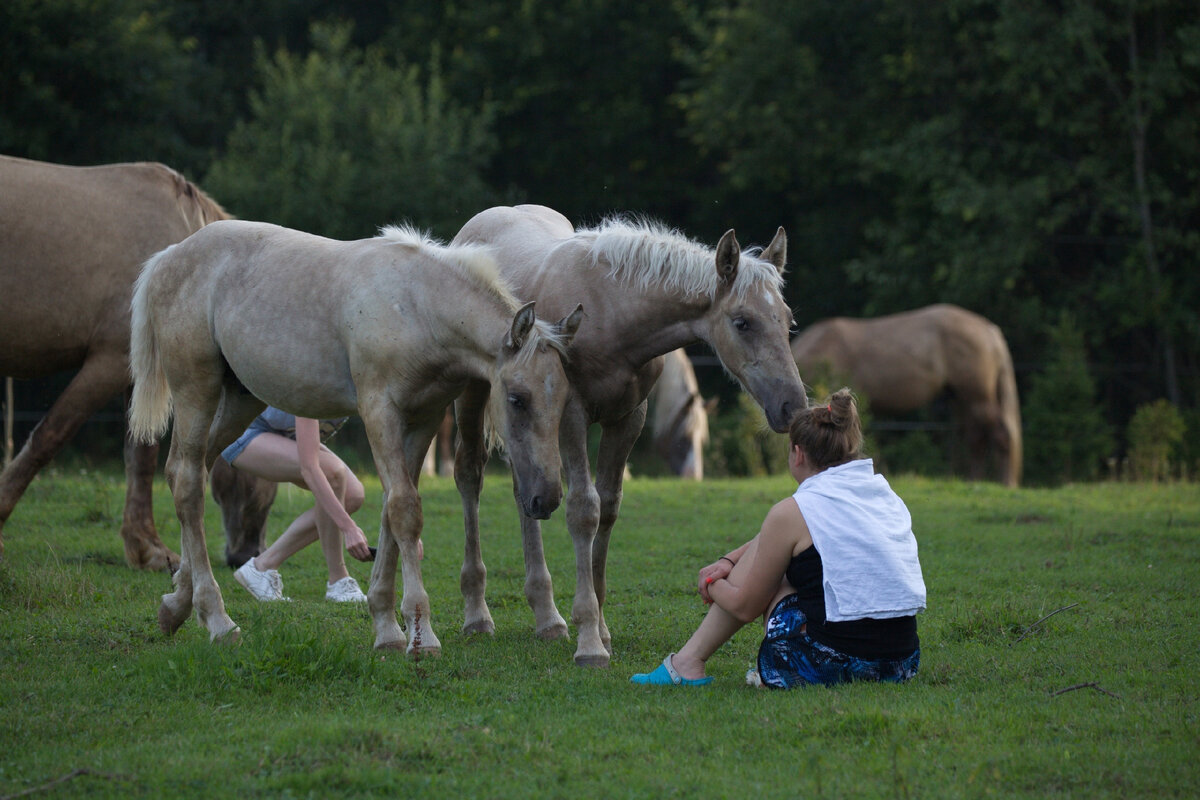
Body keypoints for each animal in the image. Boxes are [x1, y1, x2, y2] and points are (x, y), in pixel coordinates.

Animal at [0, 154, 267, 568]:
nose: (247, 554)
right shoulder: (110, 362)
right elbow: (47, 438)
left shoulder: (134, 374)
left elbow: (140, 455)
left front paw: (146, 547)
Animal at [130, 219, 580, 652]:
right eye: (518, 399)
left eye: (563, 398)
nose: (545, 499)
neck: (416, 307)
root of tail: (170, 256)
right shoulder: (380, 411)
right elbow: (404, 509)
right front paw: (421, 634)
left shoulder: (423, 420)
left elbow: (392, 510)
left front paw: (387, 627)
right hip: (196, 390)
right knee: (188, 482)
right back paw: (218, 620)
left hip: (239, 401)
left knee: (189, 470)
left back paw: (176, 605)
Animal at [787, 303, 1022, 484]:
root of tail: (990, 331)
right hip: (962, 399)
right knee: (976, 439)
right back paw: (974, 481)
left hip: (977, 397)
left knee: (1001, 435)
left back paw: (1006, 483)